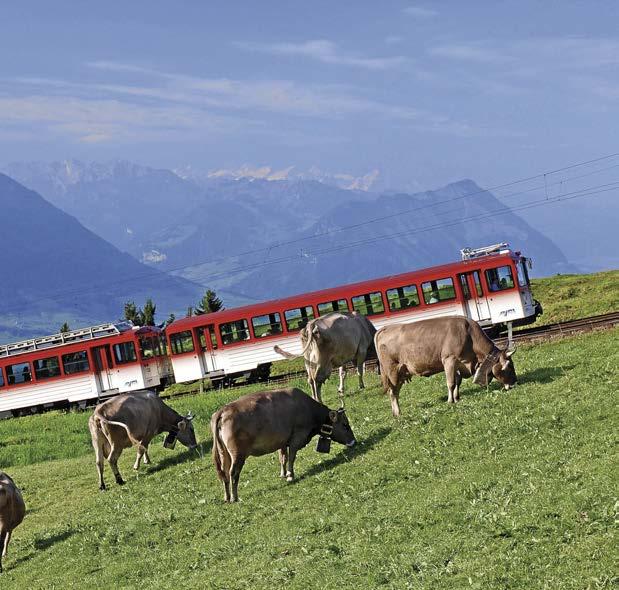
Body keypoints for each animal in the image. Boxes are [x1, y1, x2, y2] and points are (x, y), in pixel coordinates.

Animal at [210, 387, 356, 502]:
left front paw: (283, 473)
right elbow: (291, 457)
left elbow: (283, 458)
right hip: (238, 454)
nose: (354, 442)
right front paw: (290, 475)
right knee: (233, 473)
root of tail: (223, 410)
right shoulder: (296, 438)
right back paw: (234, 497)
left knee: (224, 474)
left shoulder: (282, 442)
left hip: (224, 454)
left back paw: (227, 497)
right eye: (345, 425)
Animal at [375, 316, 517, 417]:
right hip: (392, 371)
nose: (515, 382)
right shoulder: (449, 360)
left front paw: (457, 398)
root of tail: (385, 328)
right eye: (509, 366)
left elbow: (458, 381)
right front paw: (450, 401)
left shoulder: (459, 363)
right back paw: (397, 413)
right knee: (393, 391)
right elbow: (451, 383)